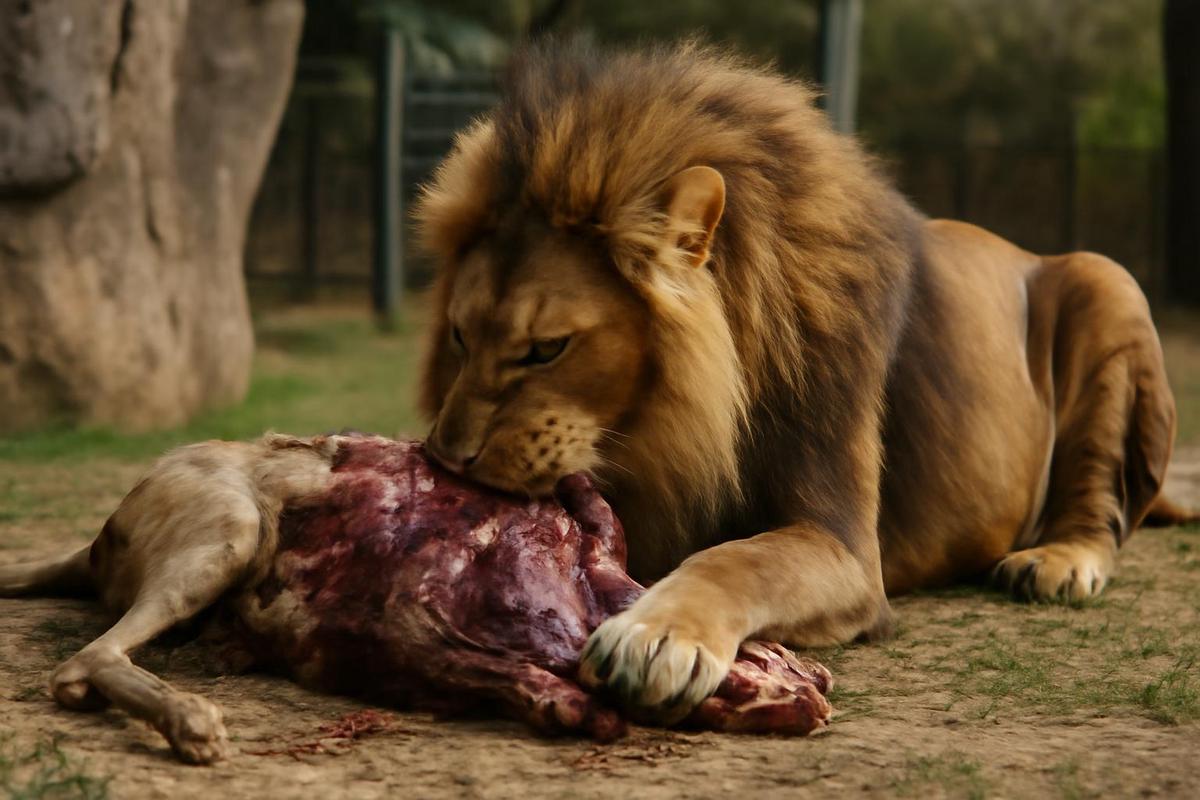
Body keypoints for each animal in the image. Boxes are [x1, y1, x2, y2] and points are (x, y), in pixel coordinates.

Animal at [413, 40, 1188, 723]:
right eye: (460, 334)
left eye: (547, 349)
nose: (446, 459)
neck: (662, 425)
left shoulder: (846, 547)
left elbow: (738, 559)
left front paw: (654, 636)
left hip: (1105, 277)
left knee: (1101, 508)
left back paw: (1056, 562)